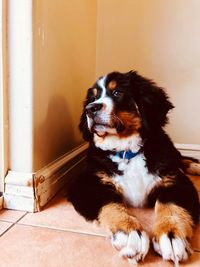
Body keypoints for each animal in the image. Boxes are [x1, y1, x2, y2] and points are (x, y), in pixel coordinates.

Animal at [67, 71, 200, 266]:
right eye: (93, 98)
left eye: (117, 92)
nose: (90, 109)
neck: (126, 151)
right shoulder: (85, 183)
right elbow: (111, 203)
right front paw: (130, 233)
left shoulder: (176, 181)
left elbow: (172, 207)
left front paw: (171, 236)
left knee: (179, 157)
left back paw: (195, 165)